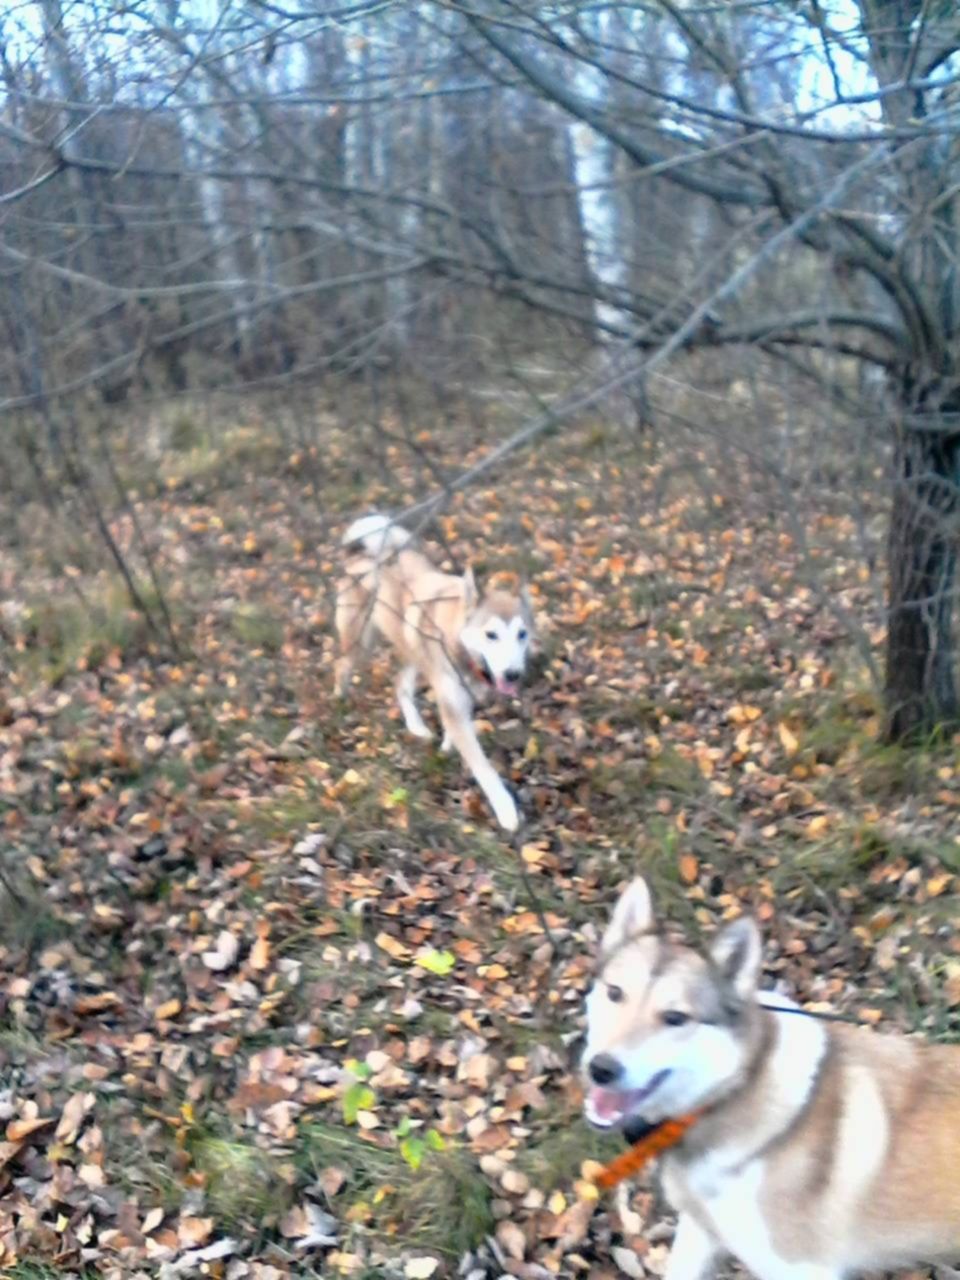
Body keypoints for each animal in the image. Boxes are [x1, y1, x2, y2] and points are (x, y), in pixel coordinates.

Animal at [335, 514, 537, 834]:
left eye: (522, 634)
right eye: (491, 634)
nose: (513, 674)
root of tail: (362, 552)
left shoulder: (461, 699)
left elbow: (454, 729)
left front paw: (446, 748)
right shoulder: (453, 700)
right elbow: (484, 768)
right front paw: (506, 810)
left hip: (412, 650)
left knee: (400, 684)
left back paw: (417, 727)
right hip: (360, 642)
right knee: (341, 666)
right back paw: (340, 699)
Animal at [583, 880, 960, 1280]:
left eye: (675, 1018)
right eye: (614, 993)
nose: (601, 1068)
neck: (731, 1095)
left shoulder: (803, 1269)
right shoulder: (699, 1229)